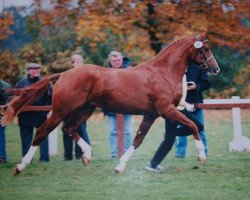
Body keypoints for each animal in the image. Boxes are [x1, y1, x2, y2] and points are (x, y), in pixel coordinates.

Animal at [0, 32, 219, 175]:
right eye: (206, 49)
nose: (215, 69)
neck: (162, 72)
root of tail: (64, 74)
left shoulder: (152, 114)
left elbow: (138, 139)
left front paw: (120, 166)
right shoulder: (167, 110)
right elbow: (192, 126)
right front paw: (202, 157)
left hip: (85, 109)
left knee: (68, 128)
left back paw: (87, 155)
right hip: (62, 110)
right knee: (42, 131)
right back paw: (20, 167)